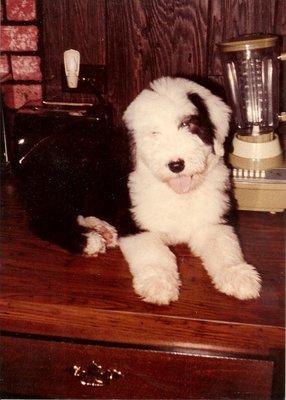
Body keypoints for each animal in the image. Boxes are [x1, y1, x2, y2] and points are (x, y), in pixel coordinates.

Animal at [19, 77, 262, 304]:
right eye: (153, 133)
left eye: (189, 125)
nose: (176, 165)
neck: (177, 194)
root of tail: (31, 153)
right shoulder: (136, 224)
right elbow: (154, 254)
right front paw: (158, 283)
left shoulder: (213, 221)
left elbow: (225, 247)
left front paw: (239, 276)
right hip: (61, 187)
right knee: (45, 222)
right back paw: (89, 240)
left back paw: (103, 230)